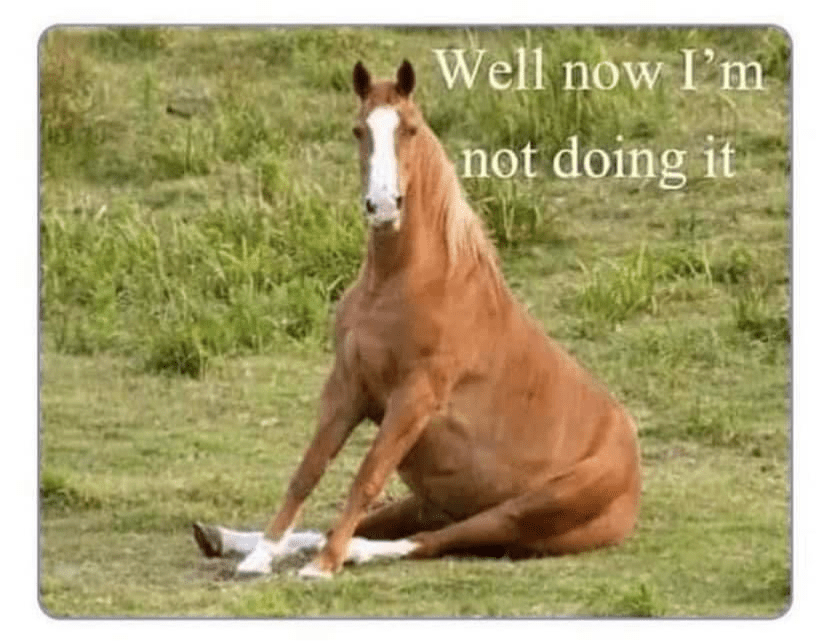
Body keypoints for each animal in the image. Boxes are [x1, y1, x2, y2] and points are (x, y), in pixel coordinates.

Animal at [193, 59, 642, 579]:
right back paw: (224, 538)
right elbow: (309, 470)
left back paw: (349, 552)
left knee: (435, 541)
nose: (383, 205)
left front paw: (322, 567)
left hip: (524, 511)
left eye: (409, 129)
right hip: (433, 499)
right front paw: (261, 555)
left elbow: (365, 478)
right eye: (359, 129)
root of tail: (631, 477)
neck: (401, 283)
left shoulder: (413, 399)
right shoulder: (347, 386)